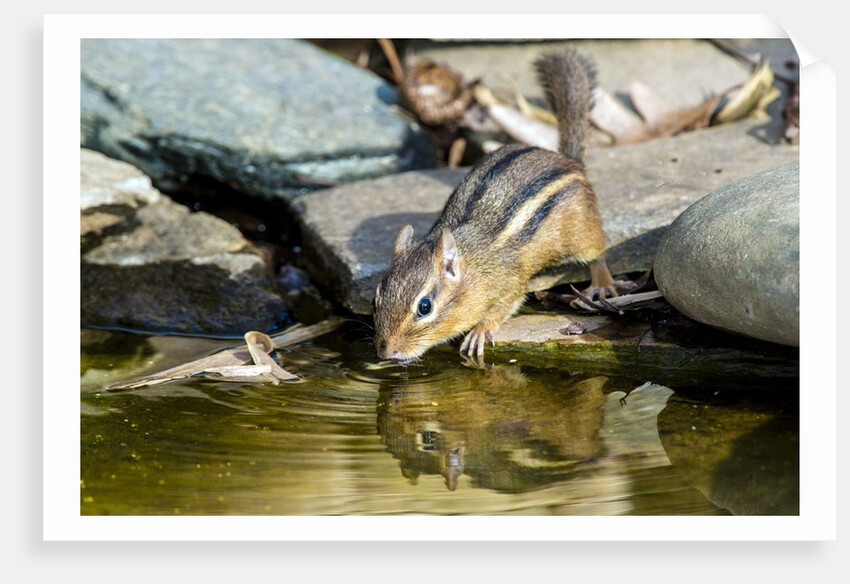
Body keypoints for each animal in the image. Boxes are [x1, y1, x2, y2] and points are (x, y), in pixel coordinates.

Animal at [373, 49, 617, 364]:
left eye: (424, 307)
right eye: (376, 299)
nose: (386, 352)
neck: (473, 267)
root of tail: (569, 160)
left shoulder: (509, 283)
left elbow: (505, 305)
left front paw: (479, 330)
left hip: (581, 230)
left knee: (598, 252)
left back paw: (601, 283)